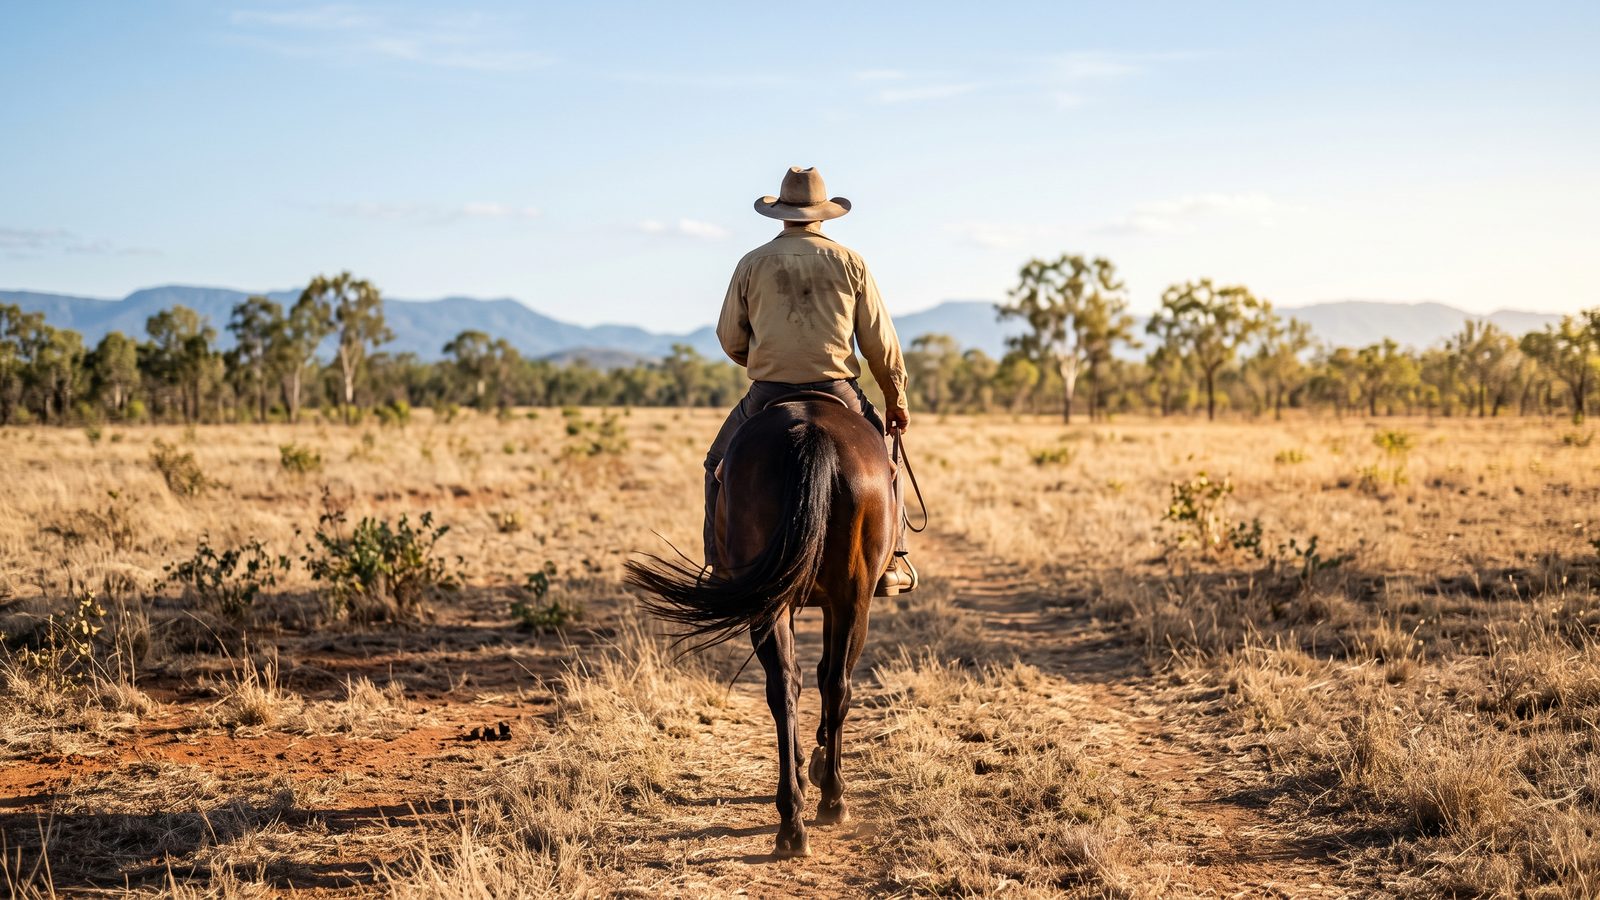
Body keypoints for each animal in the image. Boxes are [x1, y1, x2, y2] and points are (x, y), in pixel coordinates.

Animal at [624, 393, 896, 859]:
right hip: (850, 599)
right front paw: (817, 765)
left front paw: (808, 765)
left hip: (780, 602)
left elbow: (807, 675)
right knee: (833, 684)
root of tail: (811, 431)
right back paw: (830, 798)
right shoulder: (835, 604)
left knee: (788, 685)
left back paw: (792, 820)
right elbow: (822, 674)